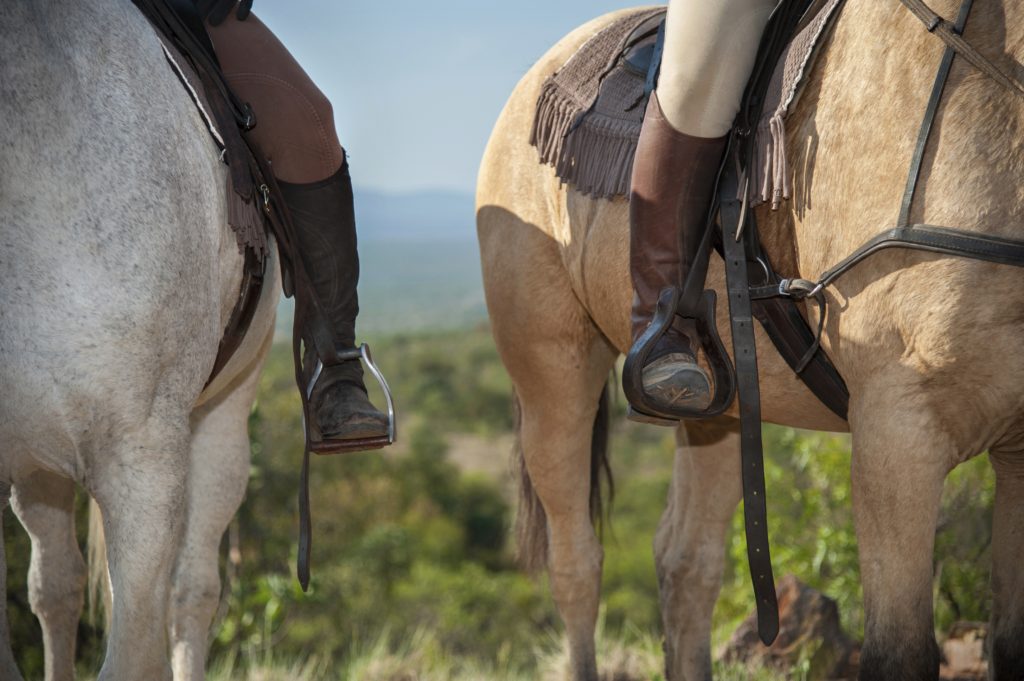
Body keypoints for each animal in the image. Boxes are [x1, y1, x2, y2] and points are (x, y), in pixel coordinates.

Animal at [477, 2, 1024, 675]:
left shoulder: (1016, 451)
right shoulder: (899, 434)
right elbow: (898, 653)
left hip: (722, 410)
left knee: (686, 565)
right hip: (553, 374)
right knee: (577, 565)